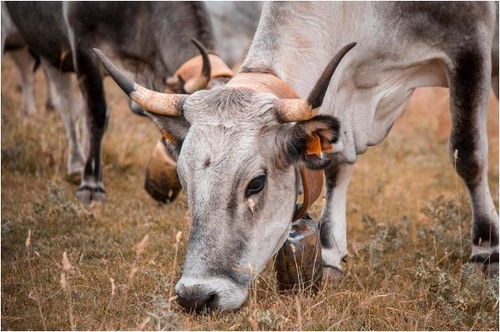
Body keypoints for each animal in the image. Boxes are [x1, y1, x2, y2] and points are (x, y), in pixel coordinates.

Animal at [96, 1, 496, 314]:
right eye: (184, 178)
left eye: (256, 183)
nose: (196, 296)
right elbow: (335, 165)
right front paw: (331, 252)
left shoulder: (470, 46)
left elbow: (468, 153)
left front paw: (486, 250)